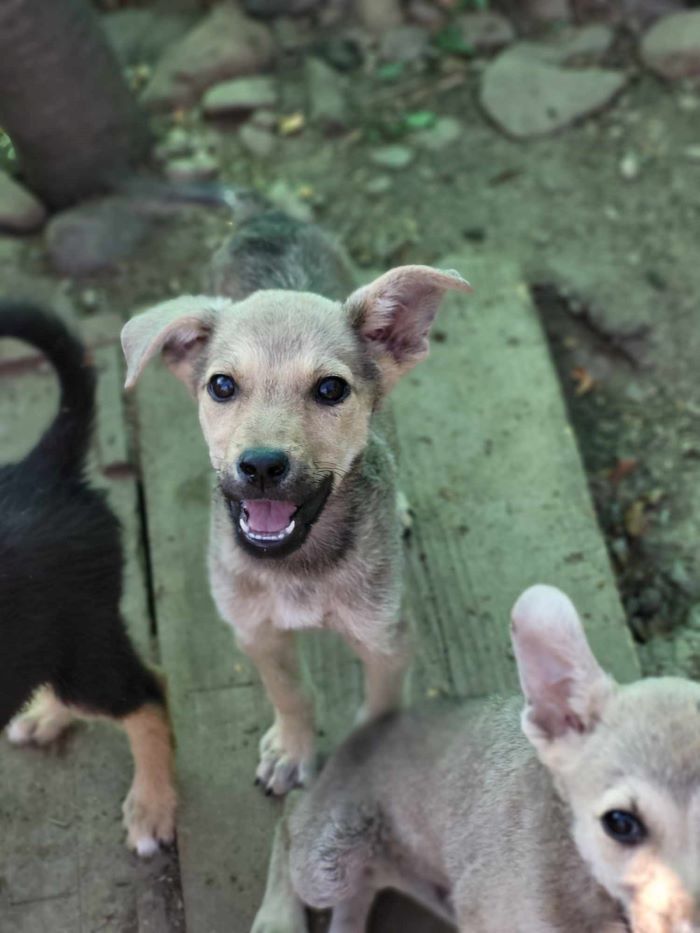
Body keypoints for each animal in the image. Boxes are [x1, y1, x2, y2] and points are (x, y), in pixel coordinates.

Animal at [120, 204, 474, 792]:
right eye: (221, 386)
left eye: (331, 389)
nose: (262, 465)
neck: (299, 566)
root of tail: (267, 212)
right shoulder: (255, 630)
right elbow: (292, 693)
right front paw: (292, 749)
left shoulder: (387, 637)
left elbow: (378, 711)